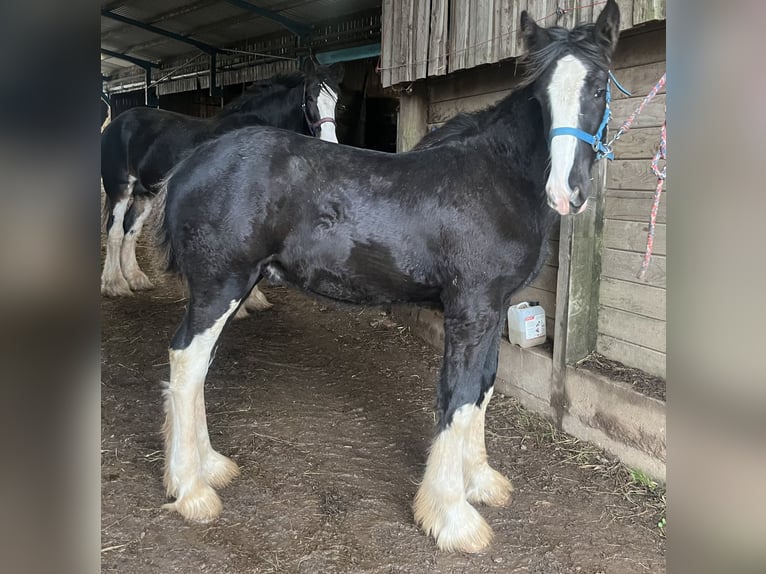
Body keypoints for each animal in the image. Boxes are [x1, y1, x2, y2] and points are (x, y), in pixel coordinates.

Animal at [100, 62, 344, 307]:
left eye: (336, 101)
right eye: (310, 98)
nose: (330, 142)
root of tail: (117, 122)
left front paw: (254, 299)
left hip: (145, 193)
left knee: (131, 229)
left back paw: (135, 279)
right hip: (120, 188)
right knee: (115, 231)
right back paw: (115, 284)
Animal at [149, 1, 621, 553]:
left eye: (599, 87)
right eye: (543, 96)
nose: (567, 192)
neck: (498, 180)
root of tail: (191, 163)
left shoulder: (495, 307)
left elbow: (482, 388)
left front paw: (480, 483)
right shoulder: (471, 310)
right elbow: (458, 396)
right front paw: (451, 517)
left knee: (198, 368)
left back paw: (209, 468)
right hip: (218, 287)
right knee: (186, 365)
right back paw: (191, 490)